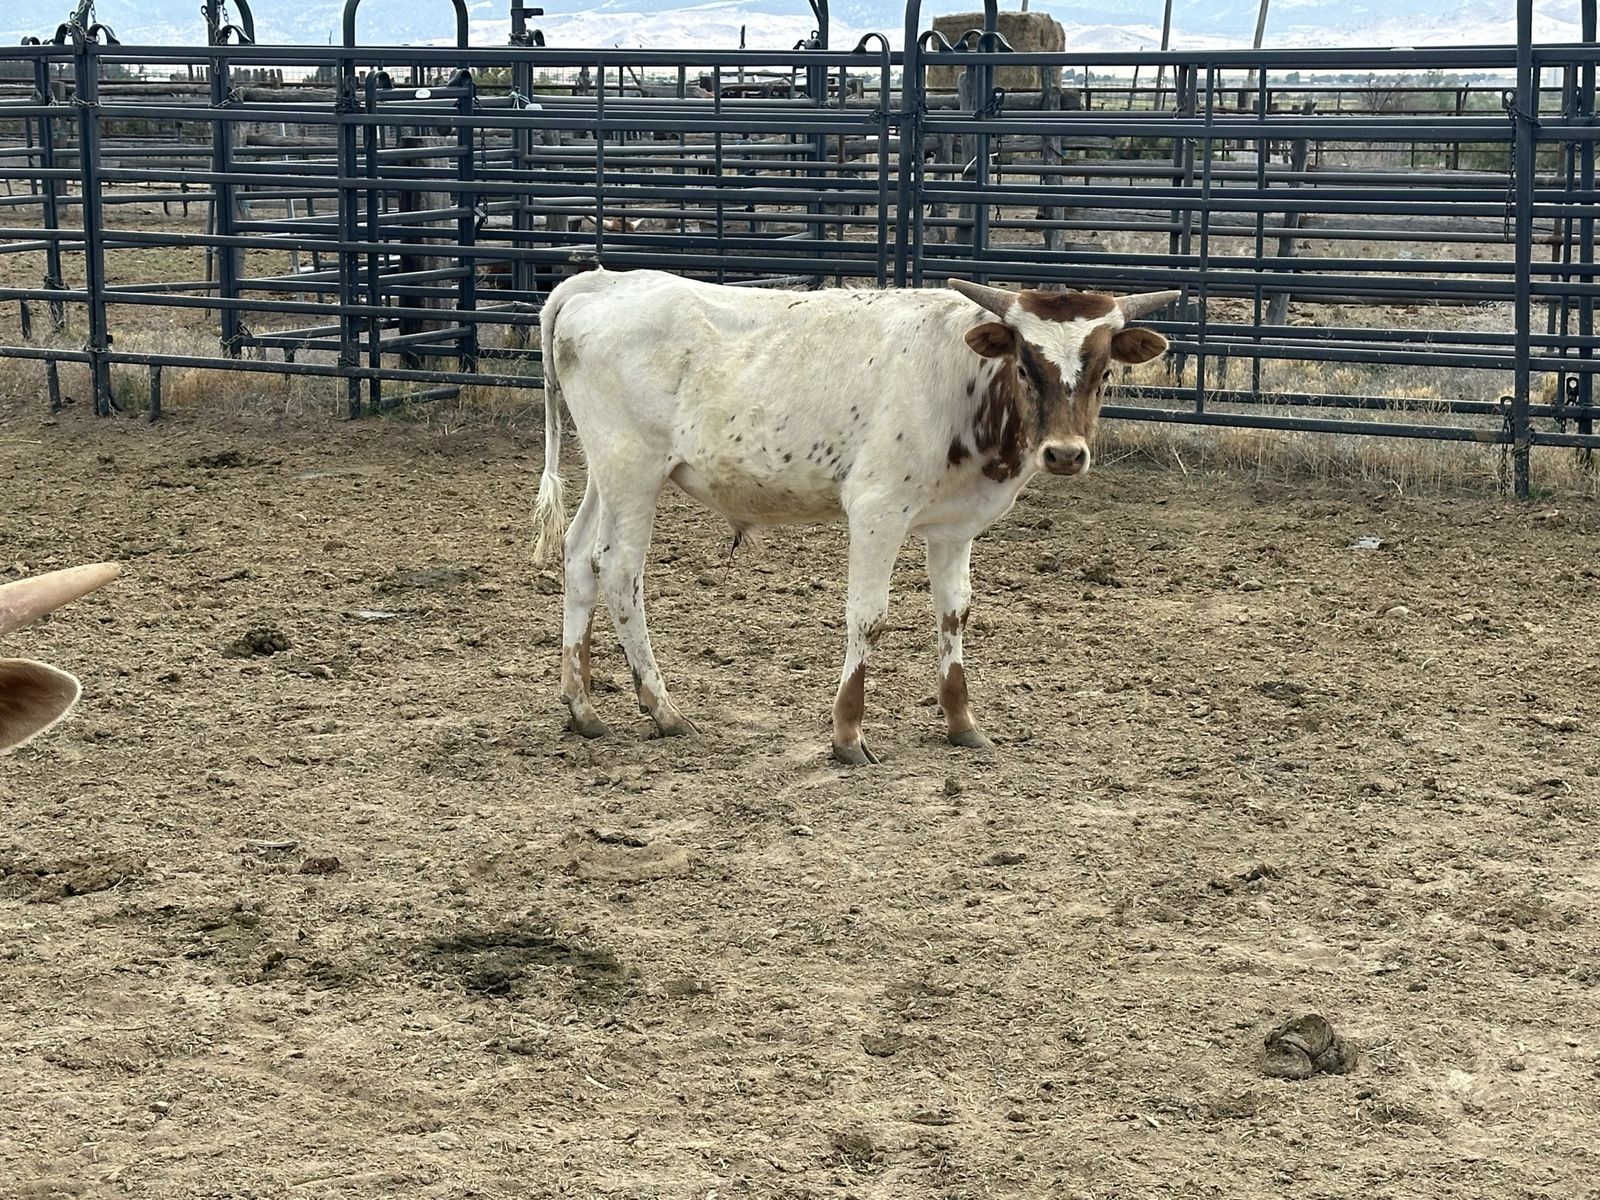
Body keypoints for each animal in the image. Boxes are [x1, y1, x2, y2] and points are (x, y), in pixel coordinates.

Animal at [531, 269, 1177, 764]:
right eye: (1025, 366)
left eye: (1105, 372)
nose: (1065, 454)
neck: (959, 376)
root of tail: (602, 280)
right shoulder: (876, 510)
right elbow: (868, 617)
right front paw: (847, 735)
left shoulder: (955, 525)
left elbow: (954, 615)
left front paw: (962, 724)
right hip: (633, 470)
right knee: (619, 571)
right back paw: (663, 710)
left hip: (607, 473)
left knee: (579, 559)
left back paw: (582, 706)